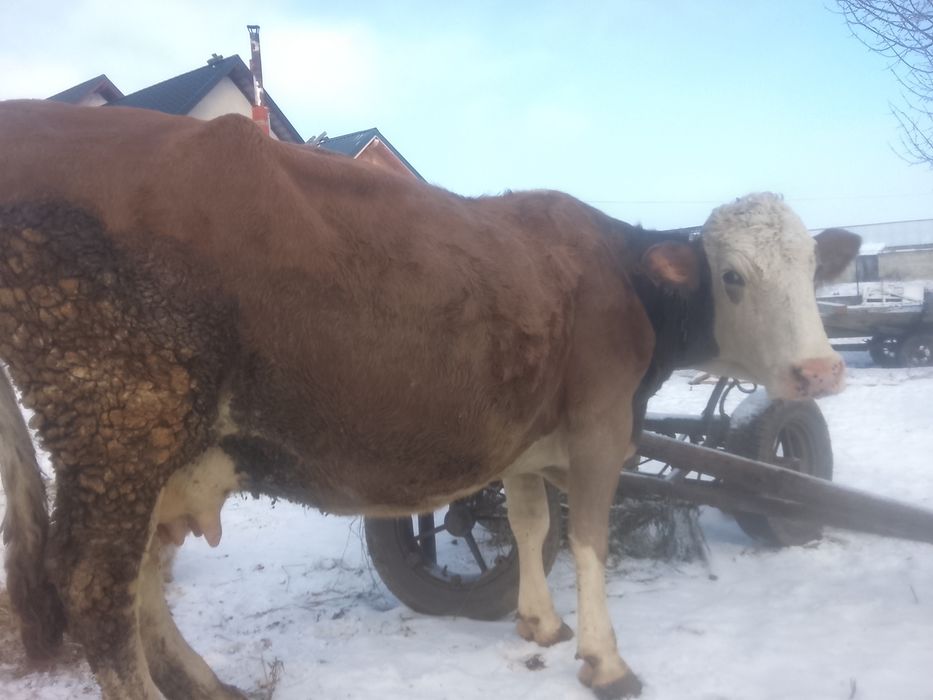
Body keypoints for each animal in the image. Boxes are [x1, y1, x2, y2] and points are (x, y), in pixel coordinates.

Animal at [0, 99, 859, 699]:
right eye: (733, 277)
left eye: (812, 269)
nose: (818, 373)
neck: (618, 276)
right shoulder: (599, 424)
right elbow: (587, 537)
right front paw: (606, 662)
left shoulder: (527, 436)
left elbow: (529, 521)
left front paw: (539, 624)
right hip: (120, 419)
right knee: (95, 588)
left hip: (159, 447)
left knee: (142, 578)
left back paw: (212, 686)